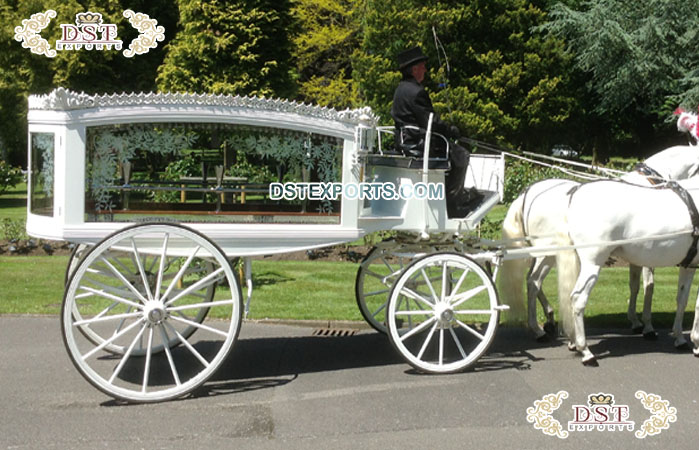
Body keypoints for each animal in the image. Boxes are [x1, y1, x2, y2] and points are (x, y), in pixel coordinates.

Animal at [500, 145, 699, 342]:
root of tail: (527, 194)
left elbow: (635, 286)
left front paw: (636, 321)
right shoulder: (648, 257)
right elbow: (649, 287)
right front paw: (648, 327)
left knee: (532, 281)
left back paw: (548, 320)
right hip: (549, 254)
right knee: (535, 282)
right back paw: (543, 328)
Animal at [560, 178, 699, 364]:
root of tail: (577, 191)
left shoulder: (688, 266)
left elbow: (682, 300)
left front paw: (680, 339)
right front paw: (696, 344)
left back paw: (574, 343)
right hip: (592, 264)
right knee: (577, 299)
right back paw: (586, 352)